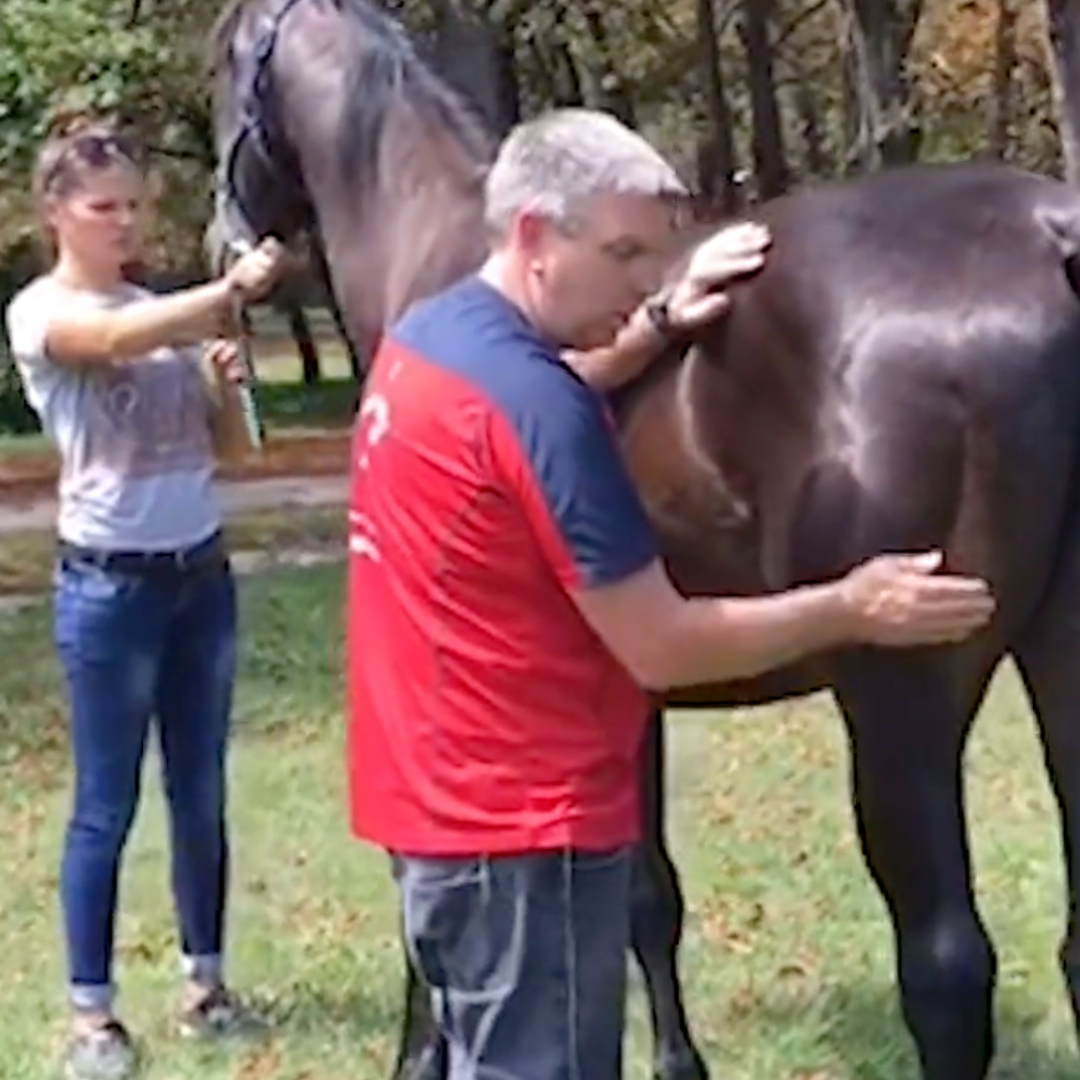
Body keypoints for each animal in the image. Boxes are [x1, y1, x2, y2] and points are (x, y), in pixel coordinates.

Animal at [207, 2, 1080, 1078]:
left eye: (223, 69)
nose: (222, 239)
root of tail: (1045, 237)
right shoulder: (623, 691)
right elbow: (643, 896)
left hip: (899, 701)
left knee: (947, 966)